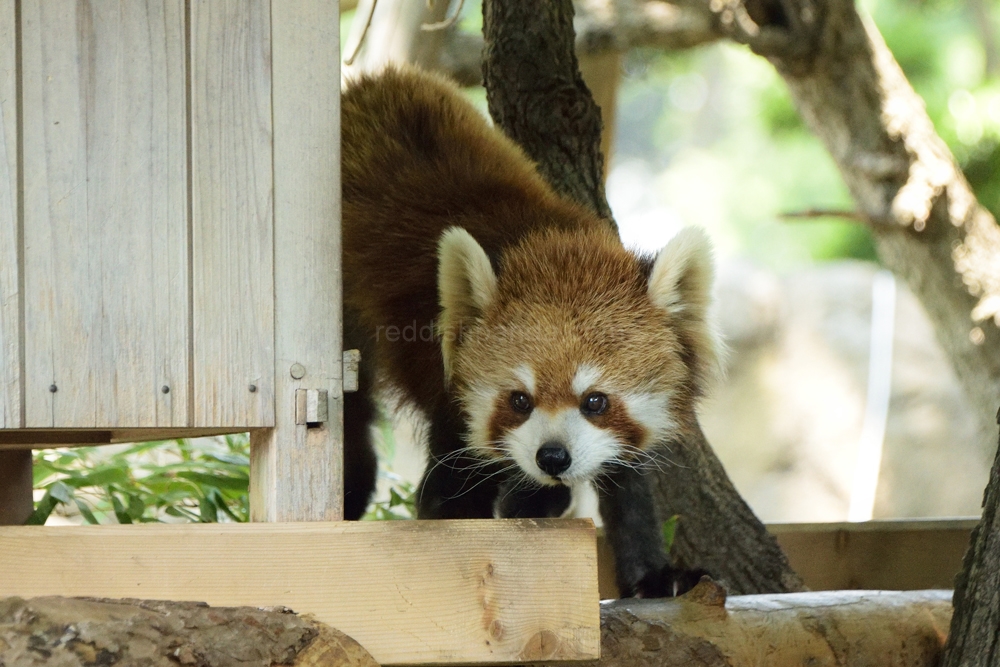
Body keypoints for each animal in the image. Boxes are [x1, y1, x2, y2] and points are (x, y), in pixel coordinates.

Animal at [344, 66, 720, 600]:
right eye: (519, 400)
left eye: (595, 401)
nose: (553, 457)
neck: (546, 244)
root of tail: (373, 79)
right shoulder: (448, 398)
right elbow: (448, 505)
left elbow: (626, 487)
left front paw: (653, 575)